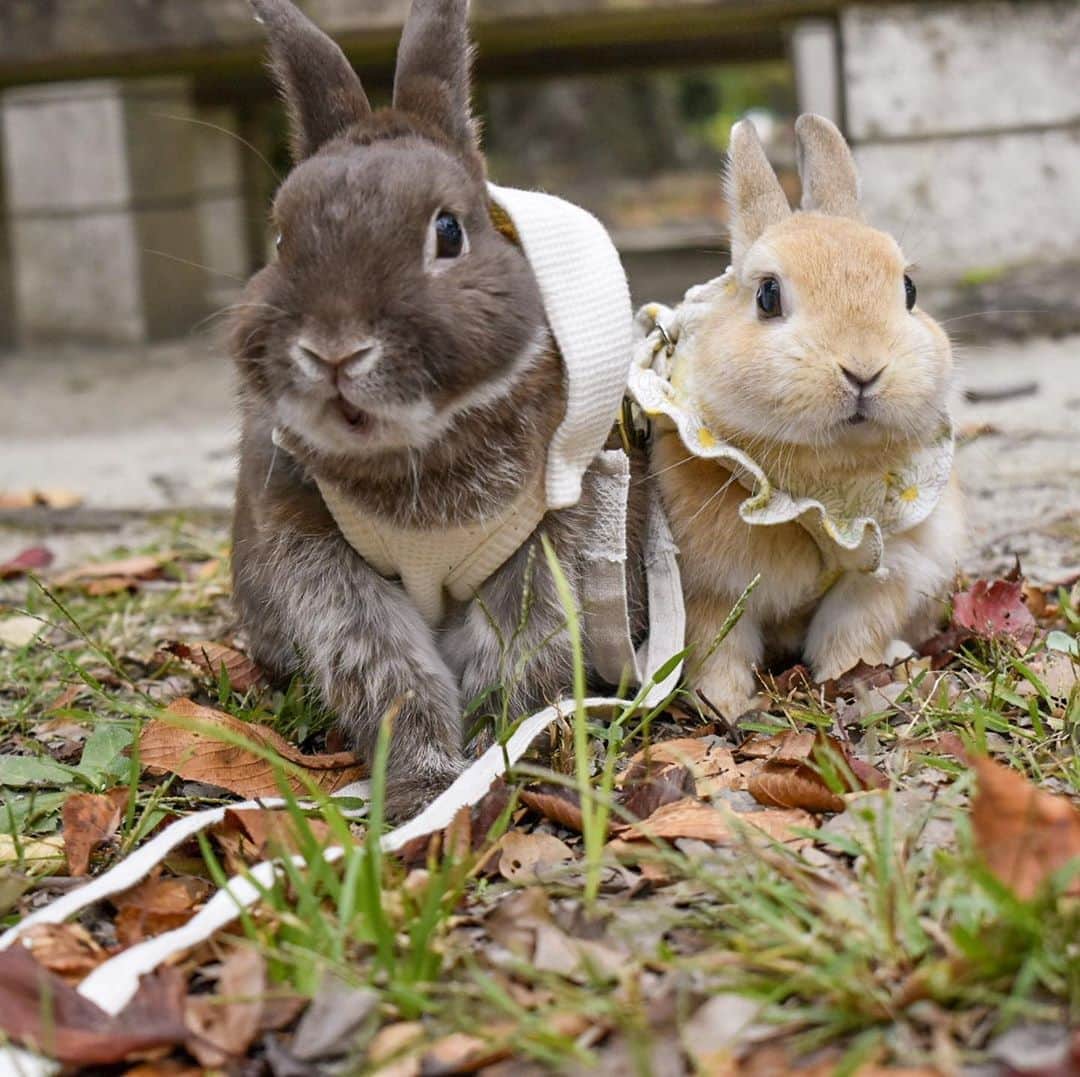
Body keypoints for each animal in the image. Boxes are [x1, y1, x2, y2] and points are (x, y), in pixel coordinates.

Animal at [230, 0, 642, 818]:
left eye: (449, 232)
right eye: (282, 238)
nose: (334, 350)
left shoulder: (544, 548)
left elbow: (509, 658)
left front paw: (491, 760)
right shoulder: (324, 567)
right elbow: (392, 674)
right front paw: (423, 789)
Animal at [637, 114, 964, 720]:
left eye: (909, 290)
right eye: (767, 295)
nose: (864, 369)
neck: (824, 483)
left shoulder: (884, 570)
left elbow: (851, 634)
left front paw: (852, 682)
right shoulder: (711, 587)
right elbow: (718, 648)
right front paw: (725, 706)